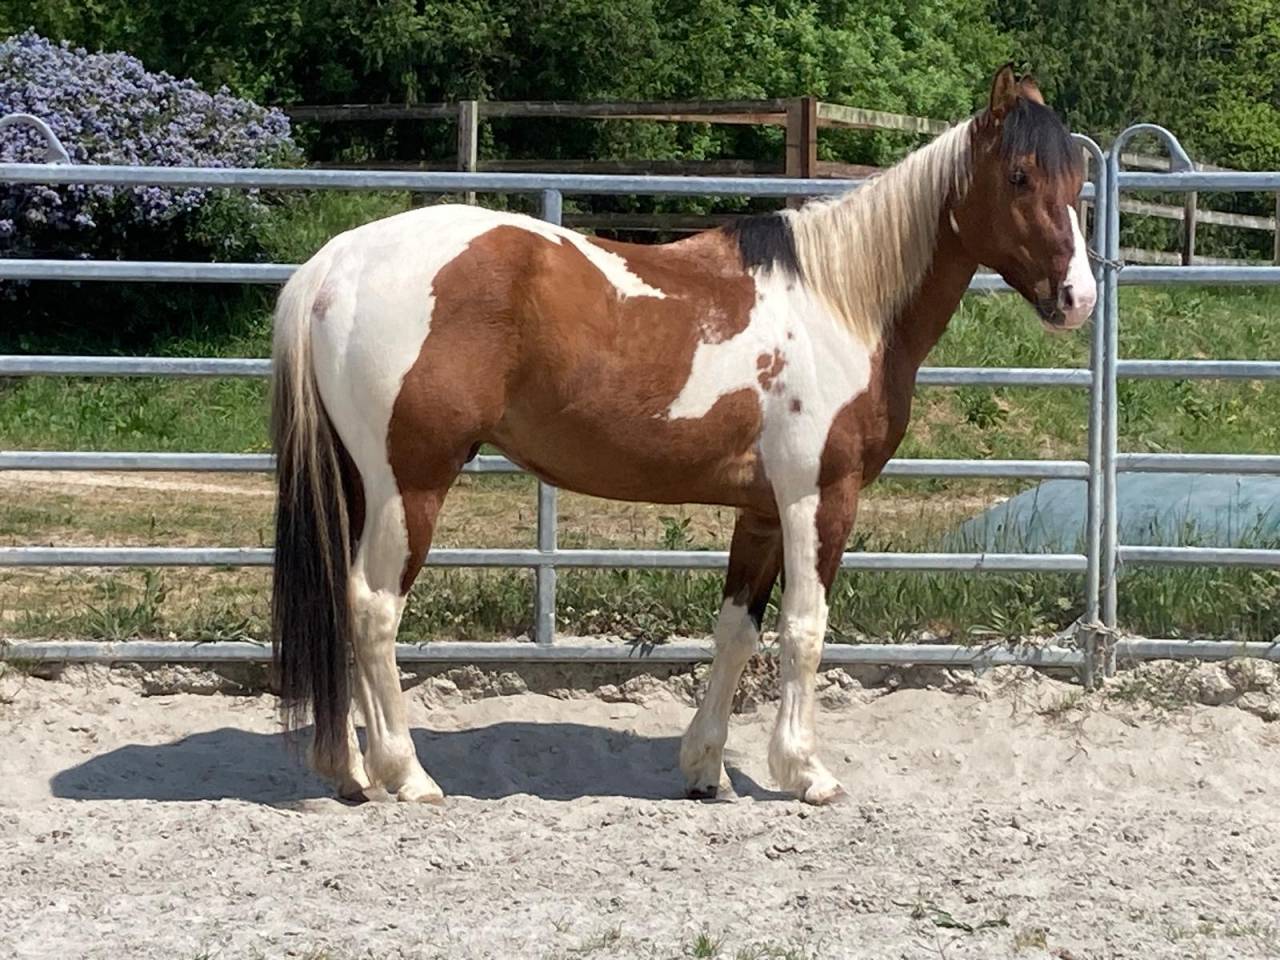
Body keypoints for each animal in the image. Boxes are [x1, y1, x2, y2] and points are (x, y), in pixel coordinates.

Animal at [269, 64, 1095, 806]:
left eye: (1079, 179)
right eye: (1020, 176)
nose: (1079, 298)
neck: (839, 304)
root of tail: (337, 262)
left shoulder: (760, 513)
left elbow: (737, 632)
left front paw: (706, 770)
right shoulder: (818, 499)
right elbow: (805, 629)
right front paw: (806, 773)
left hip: (359, 483)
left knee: (345, 608)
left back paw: (349, 772)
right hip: (410, 485)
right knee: (374, 608)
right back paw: (407, 775)